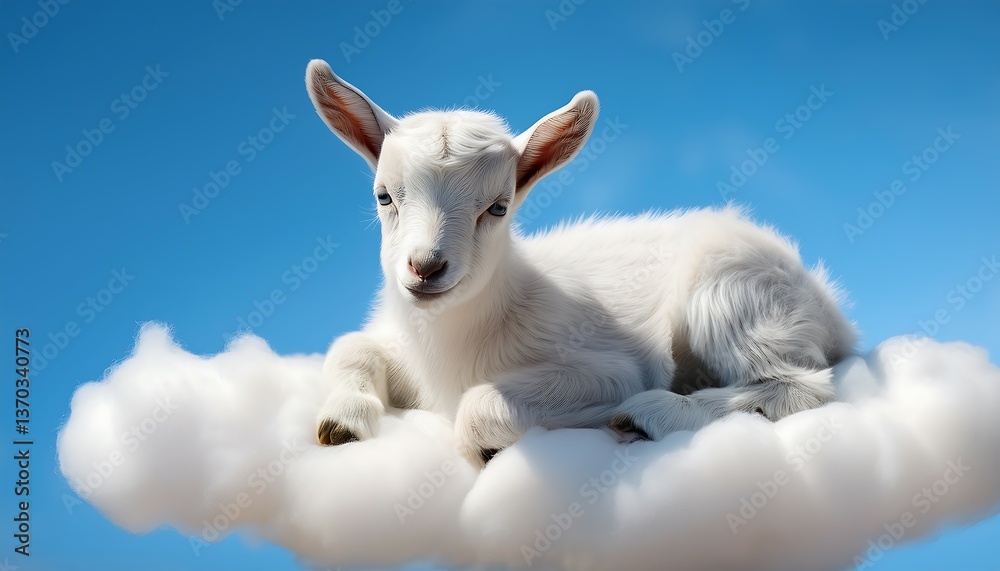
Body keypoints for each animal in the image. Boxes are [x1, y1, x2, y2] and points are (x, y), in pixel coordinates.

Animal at [305, 59, 856, 467]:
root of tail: (830, 307)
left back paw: (650, 414)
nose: (425, 267)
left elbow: (481, 404)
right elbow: (350, 347)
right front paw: (341, 425)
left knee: (801, 385)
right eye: (383, 195)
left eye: (498, 207)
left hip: (730, 295)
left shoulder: (608, 367)